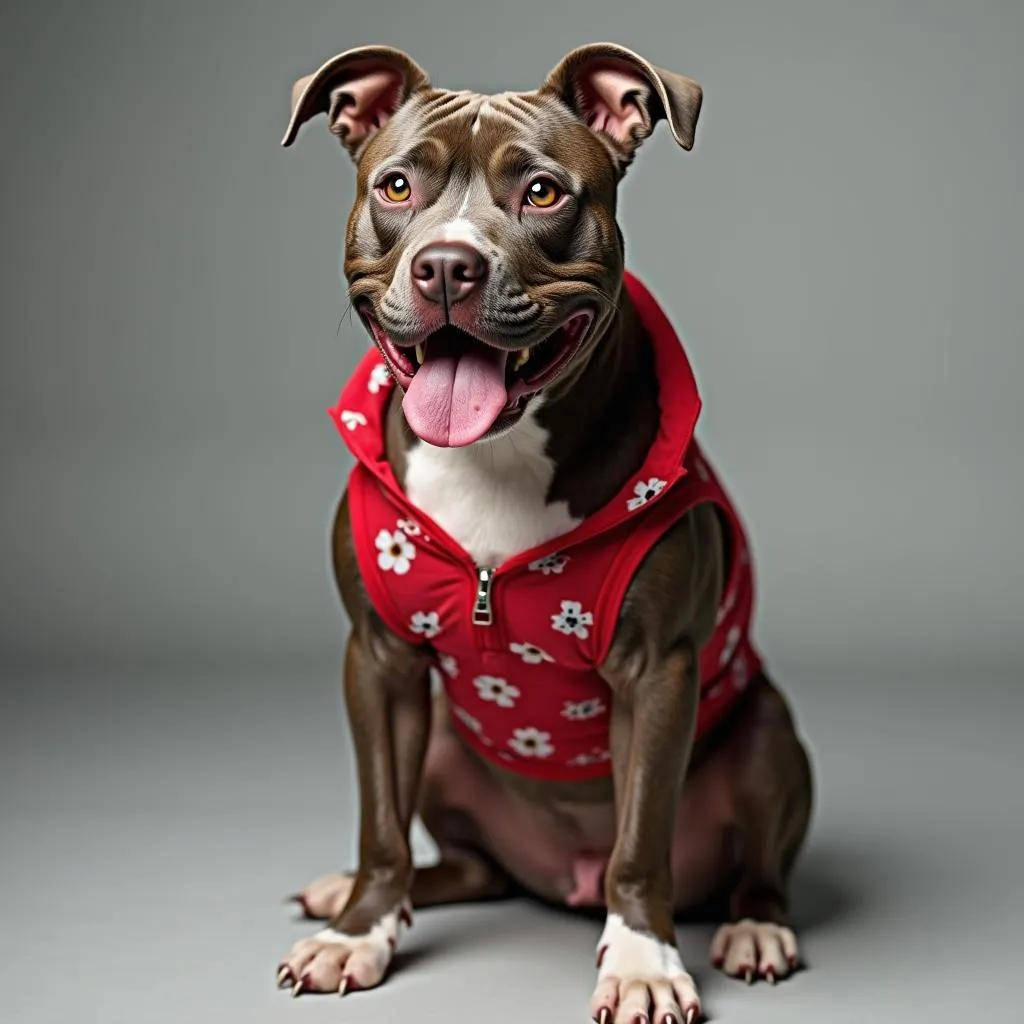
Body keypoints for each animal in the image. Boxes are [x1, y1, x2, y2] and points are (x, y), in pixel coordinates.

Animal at [274, 41, 815, 1024]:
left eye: (542, 192)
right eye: (398, 185)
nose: (448, 266)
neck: (495, 455)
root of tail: (563, 874)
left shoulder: (657, 673)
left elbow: (641, 843)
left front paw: (642, 962)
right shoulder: (379, 659)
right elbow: (380, 825)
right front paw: (357, 933)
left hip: (766, 733)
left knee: (754, 868)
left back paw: (755, 926)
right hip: (442, 743)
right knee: (468, 867)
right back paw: (357, 895)